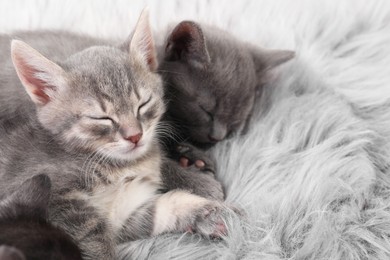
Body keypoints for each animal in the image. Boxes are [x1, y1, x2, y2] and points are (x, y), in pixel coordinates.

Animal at [0, 10, 229, 260]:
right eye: (101, 118)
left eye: (142, 104)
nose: (135, 136)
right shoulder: (57, 202)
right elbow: (92, 241)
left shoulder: (121, 214)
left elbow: (157, 210)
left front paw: (205, 214)